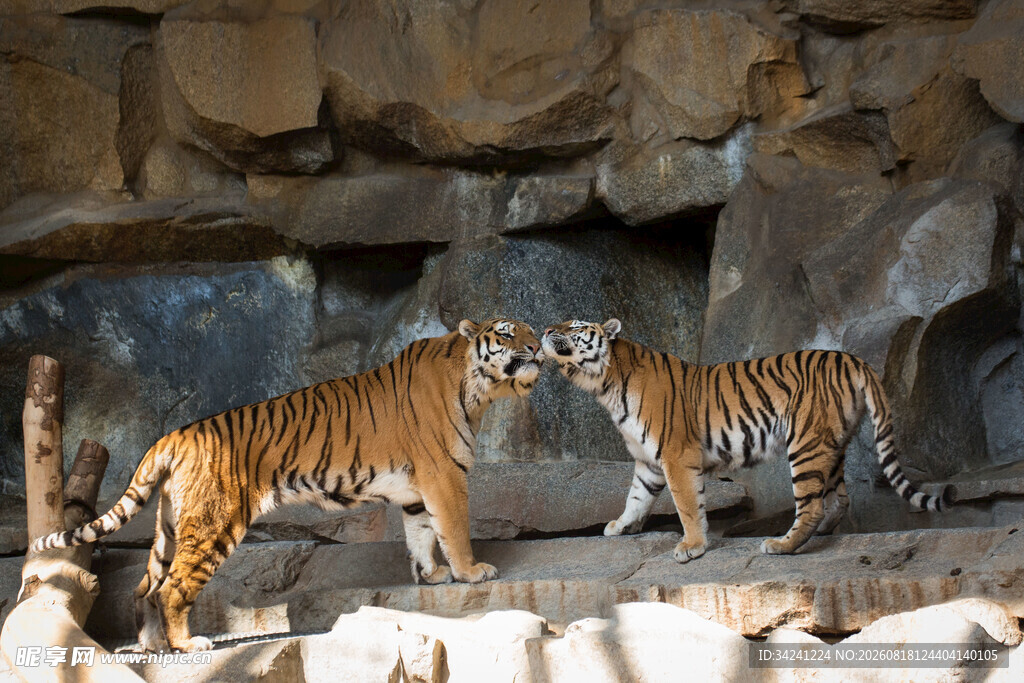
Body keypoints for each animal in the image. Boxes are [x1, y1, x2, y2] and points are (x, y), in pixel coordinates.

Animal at [32, 318, 543, 653]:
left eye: (531, 329)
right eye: (507, 333)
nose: (540, 346)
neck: (478, 390)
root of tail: (174, 434)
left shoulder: (418, 492)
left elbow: (421, 536)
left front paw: (432, 575)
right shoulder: (444, 477)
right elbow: (453, 529)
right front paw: (472, 572)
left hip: (172, 525)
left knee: (144, 588)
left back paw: (154, 646)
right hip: (216, 523)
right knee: (172, 588)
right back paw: (189, 645)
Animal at [541, 318, 947, 564]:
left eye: (575, 325)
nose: (544, 329)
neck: (605, 385)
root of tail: (853, 360)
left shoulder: (675, 453)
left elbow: (686, 504)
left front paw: (692, 546)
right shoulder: (648, 462)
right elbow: (637, 498)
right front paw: (622, 526)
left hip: (805, 443)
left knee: (812, 505)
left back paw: (782, 545)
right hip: (830, 444)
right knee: (838, 501)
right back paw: (817, 534)